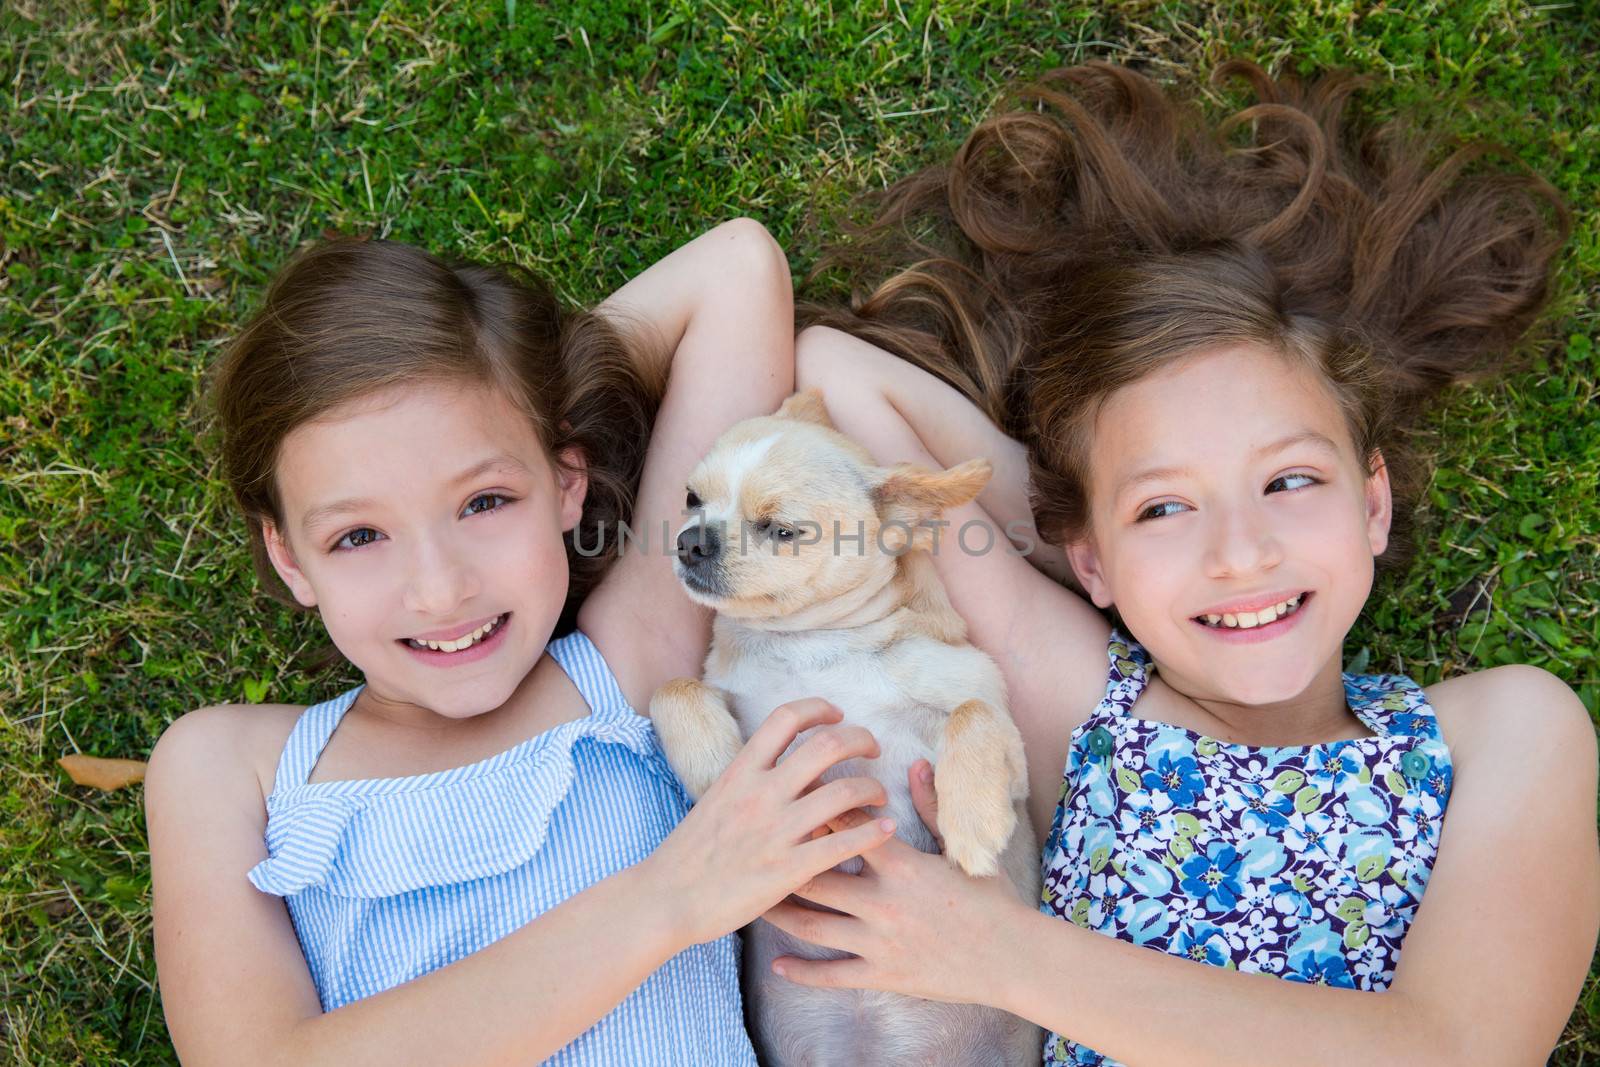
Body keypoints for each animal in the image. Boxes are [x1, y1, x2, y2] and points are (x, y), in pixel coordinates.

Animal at [646, 391, 1036, 1067]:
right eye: (691, 498)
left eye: (782, 531)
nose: (691, 541)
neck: (809, 648)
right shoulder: (725, 694)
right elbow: (672, 688)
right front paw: (718, 767)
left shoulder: (1013, 758)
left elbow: (973, 711)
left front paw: (974, 824)